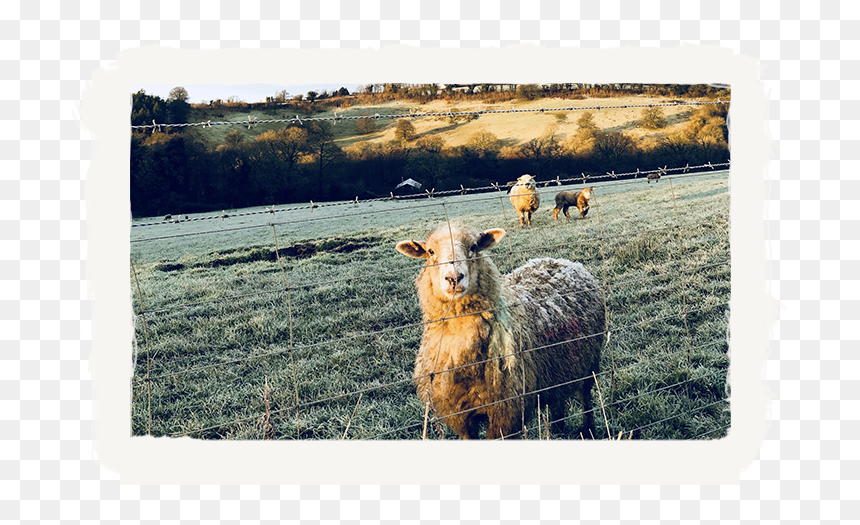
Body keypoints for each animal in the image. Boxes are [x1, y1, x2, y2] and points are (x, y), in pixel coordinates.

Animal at [395, 223, 605, 439]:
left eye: (474, 247)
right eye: (430, 251)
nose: (454, 278)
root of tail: (561, 260)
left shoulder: (505, 413)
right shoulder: (461, 417)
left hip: (589, 360)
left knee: (585, 396)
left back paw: (589, 429)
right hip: (559, 365)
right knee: (557, 397)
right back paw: (557, 428)